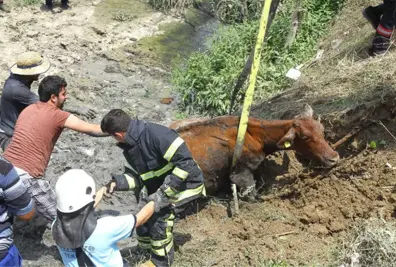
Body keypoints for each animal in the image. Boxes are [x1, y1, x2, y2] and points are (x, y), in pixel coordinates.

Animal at [169, 104, 338, 201]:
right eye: (305, 137)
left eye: (322, 130)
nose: (334, 158)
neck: (254, 134)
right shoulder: (241, 174)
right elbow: (253, 196)